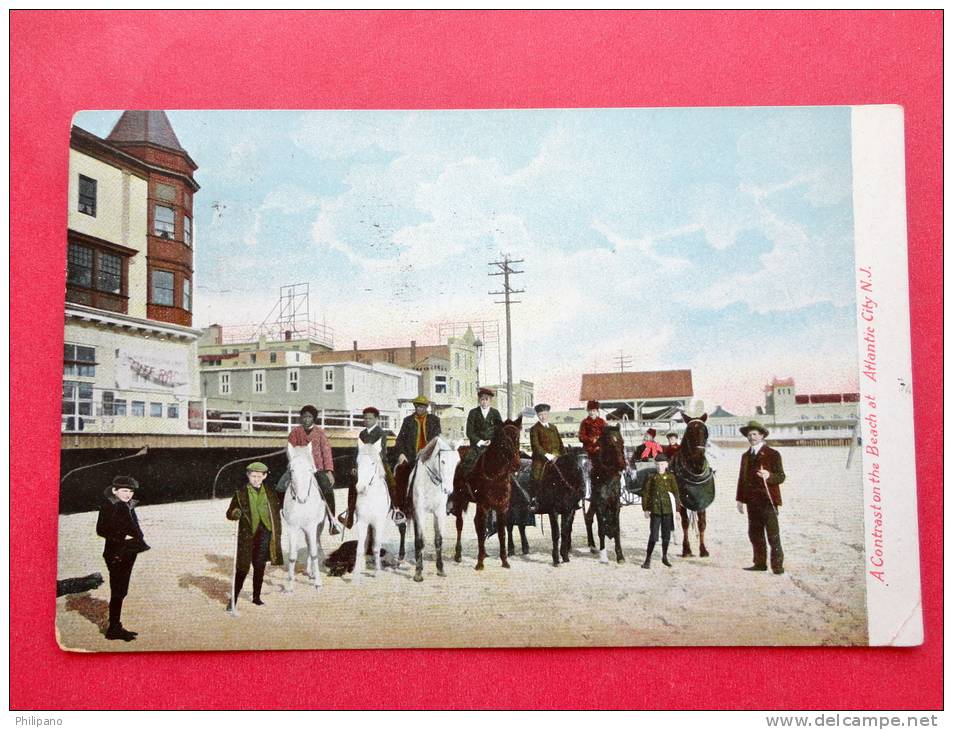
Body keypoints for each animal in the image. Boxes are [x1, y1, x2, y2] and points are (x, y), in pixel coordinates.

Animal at [280, 440, 330, 588]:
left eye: (310, 470)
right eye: (292, 470)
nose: (301, 499)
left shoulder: (312, 527)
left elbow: (313, 553)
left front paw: (318, 583)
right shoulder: (293, 528)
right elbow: (292, 556)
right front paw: (289, 586)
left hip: (319, 526)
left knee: (314, 545)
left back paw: (313, 573)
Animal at [350, 438, 390, 580]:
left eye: (373, 463)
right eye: (358, 462)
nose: (360, 487)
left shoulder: (378, 523)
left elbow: (376, 547)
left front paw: (377, 572)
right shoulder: (362, 522)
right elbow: (360, 547)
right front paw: (356, 572)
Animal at [408, 436, 460, 584]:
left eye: (457, 462)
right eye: (442, 461)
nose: (448, 490)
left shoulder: (439, 513)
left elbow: (438, 539)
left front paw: (440, 569)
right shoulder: (420, 512)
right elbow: (420, 540)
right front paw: (418, 573)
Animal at [452, 416, 524, 568]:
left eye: (518, 438)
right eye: (503, 440)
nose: (516, 465)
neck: (496, 474)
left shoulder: (502, 507)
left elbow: (502, 533)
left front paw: (504, 561)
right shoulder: (483, 506)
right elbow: (480, 530)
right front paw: (480, 563)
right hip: (459, 499)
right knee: (460, 524)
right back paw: (458, 554)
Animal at [668, 410, 712, 556]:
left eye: (705, 430)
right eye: (689, 431)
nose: (699, 456)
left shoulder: (702, 500)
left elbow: (702, 523)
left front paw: (703, 549)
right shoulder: (681, 501)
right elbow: (685, 522)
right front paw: (686, 549)